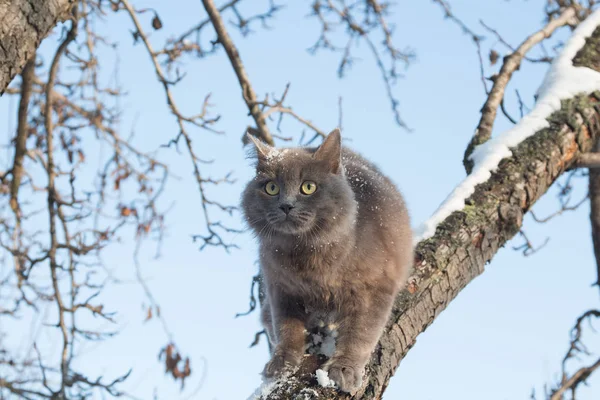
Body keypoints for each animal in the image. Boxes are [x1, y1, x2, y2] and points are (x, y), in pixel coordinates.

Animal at [240, 129, 412, 394]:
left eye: (308, 187)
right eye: (271, 188)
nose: (286, 205)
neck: (306, 255)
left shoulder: (374, 290)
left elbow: (360, 334)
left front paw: (344, 368)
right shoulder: (280, 290)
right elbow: (286, 329)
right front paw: (282, 362)